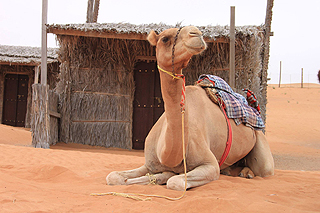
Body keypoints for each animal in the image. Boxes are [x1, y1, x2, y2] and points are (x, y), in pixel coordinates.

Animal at [106, 25, 274, 191]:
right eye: (165, 38)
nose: (196, 34)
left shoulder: (210, 165)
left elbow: (175, 182)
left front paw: (166, 176)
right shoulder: (150, 164)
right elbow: (113, 177)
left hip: (260, 140)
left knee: (264, 168)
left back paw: (248, 173)